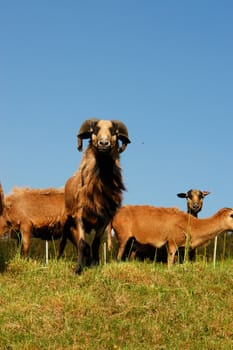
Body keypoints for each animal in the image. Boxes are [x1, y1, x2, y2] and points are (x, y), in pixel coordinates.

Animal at [62, 119, 130, 274]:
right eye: (94, 130)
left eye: (114, 131)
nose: (104, 143)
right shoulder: (80, 216)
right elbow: (82, 244)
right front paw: (78, 270)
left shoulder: (103, 220)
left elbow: (96, 244)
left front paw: (95, 264)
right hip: (69, 224)